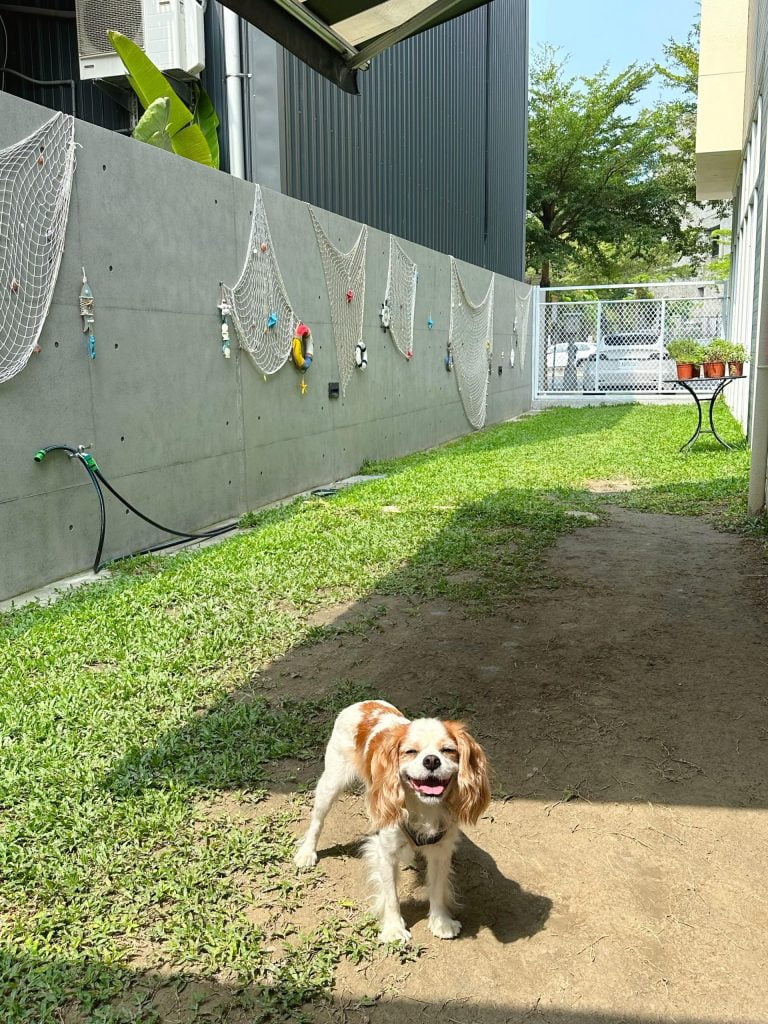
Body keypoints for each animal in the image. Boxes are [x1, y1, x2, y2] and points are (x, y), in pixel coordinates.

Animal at [294, 696, 493, 942]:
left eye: (448, 750)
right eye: (410, 752)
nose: (431, 760)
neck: (423, 807)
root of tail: (364, 703)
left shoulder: (440, 849)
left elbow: (437, 889)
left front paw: (441, 922)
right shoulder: (386, 853)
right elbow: (391, 895)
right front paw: (394, 929)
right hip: (331, 783)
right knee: (317, 821)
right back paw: (306, 853)